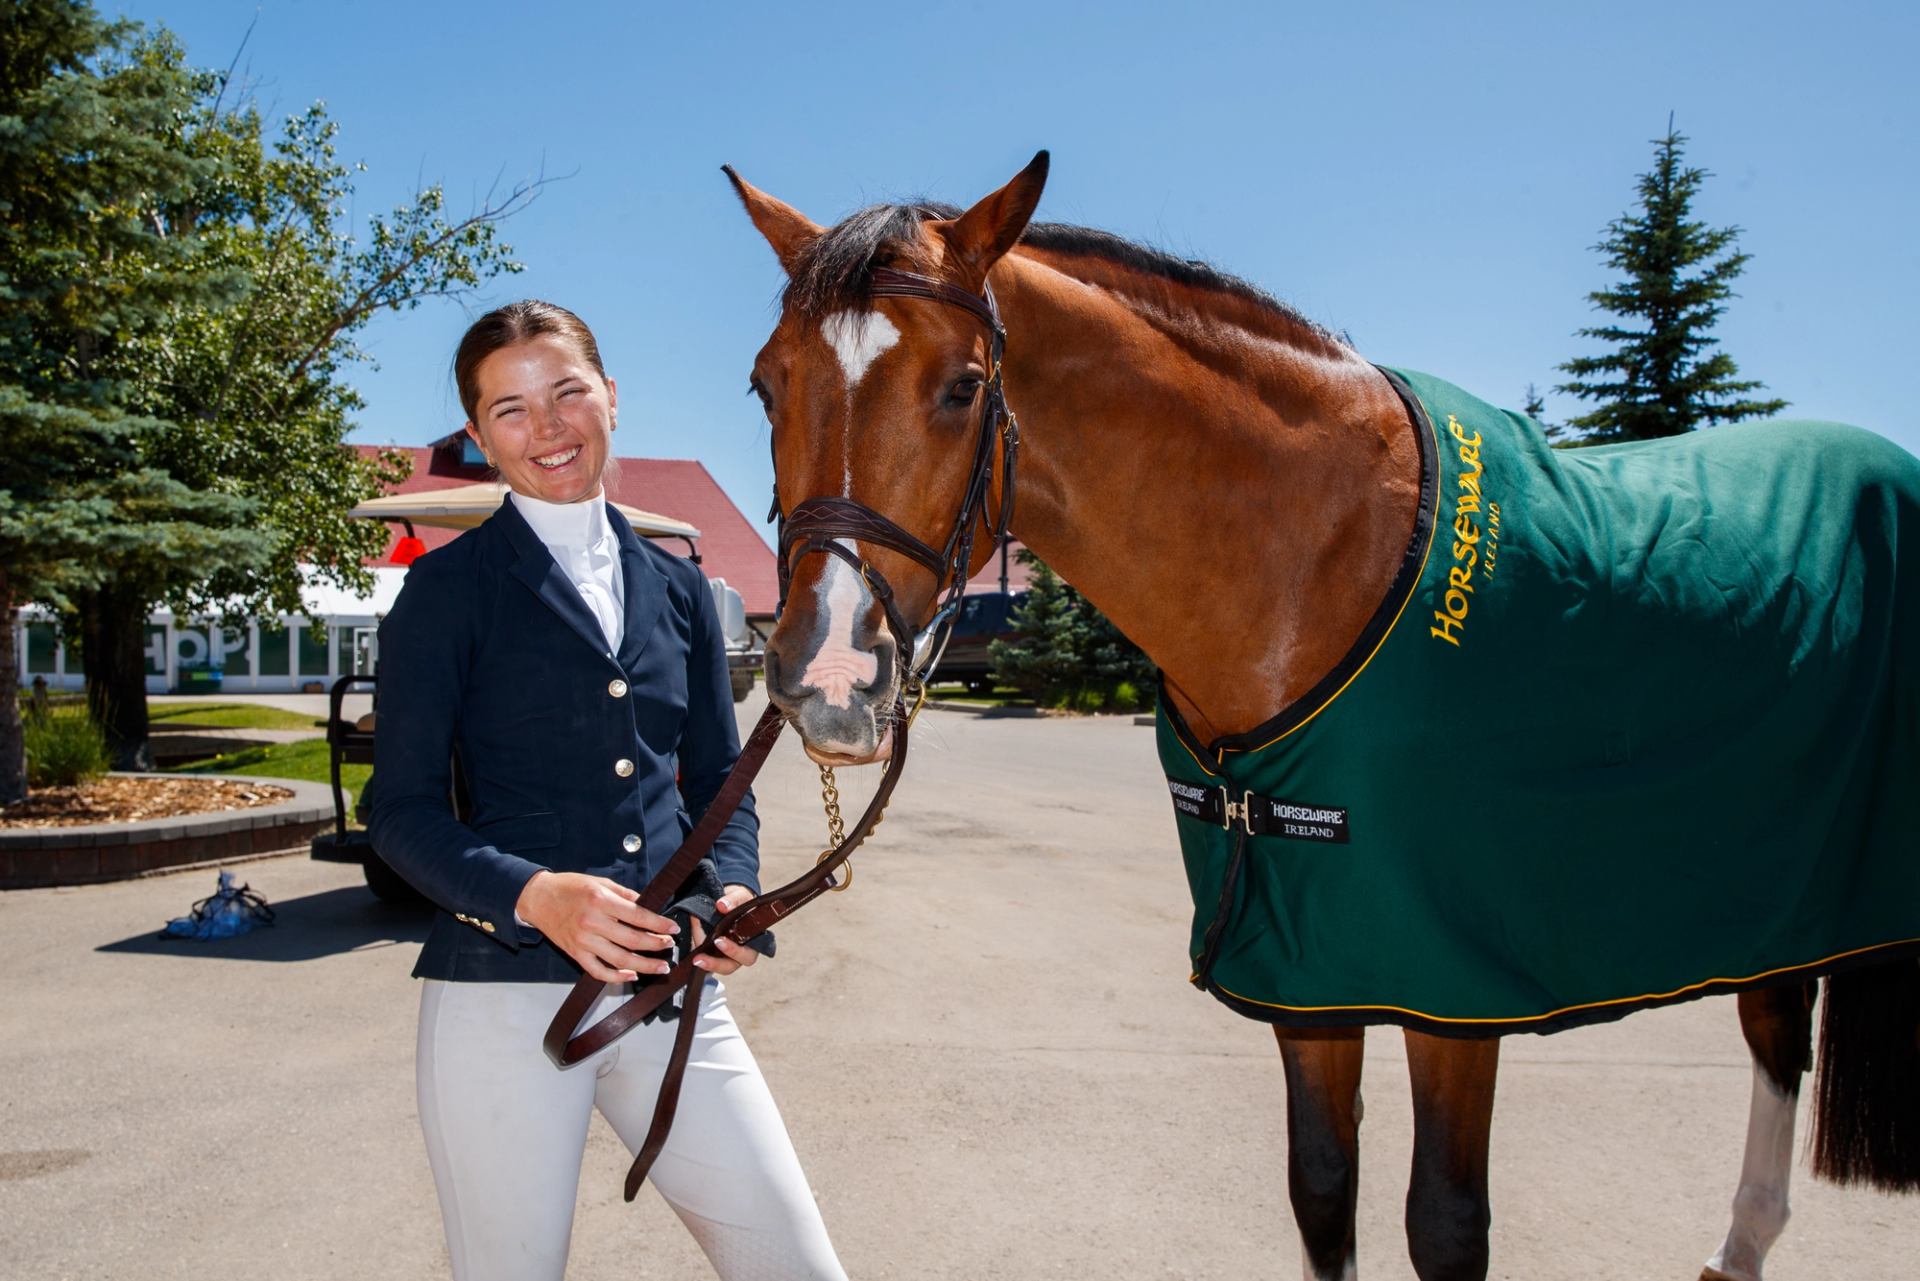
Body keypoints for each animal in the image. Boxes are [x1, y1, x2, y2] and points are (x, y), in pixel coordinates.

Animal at [721, 151, 1920, 1281]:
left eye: (965, 387)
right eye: (767, 386)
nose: (826, 676)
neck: (1317, 564)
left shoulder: (1447, 985)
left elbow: (1446, 1225)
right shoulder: (1309, 967)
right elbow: (1322, 1189)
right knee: (1775, 1030)